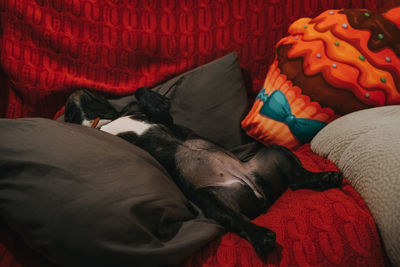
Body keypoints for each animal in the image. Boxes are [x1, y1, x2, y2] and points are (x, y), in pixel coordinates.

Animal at [64, 87, 342, 255]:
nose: (74, 93)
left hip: (273, 154)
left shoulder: (157, 116)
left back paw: (324, 177)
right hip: (210, 200)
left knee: (297, 178)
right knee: (239, 219)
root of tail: (261, 197)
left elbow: (143, 94)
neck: (106, 122)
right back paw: (261, 236)